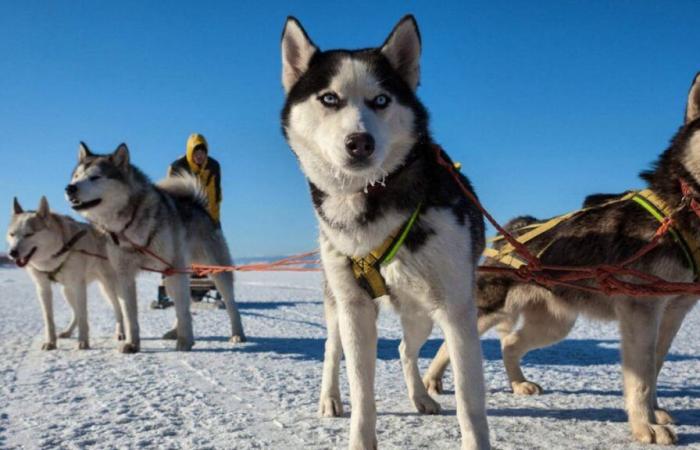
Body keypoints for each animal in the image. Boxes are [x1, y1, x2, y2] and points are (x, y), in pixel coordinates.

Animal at [7, 196, 124, 348]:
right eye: (12, 234)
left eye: (29, 234)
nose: (12, 252)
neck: (54, 255)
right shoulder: (43, 288)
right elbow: (49, 319)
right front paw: (50, 342)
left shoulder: (79, 287)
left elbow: (83, 316)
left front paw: (83, 342)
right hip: (67, 291)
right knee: (75, 313)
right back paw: (68, 332)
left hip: (108, 288)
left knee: (118, 309)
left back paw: (121, 332)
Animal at [65, 142, 246, 354]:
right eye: (76, 176)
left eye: (95, 177)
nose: (70, 188)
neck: (128, 223)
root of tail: (197, 205)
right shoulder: (124, 275)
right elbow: (130, 315)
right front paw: (132, 344)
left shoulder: (174, 267)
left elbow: (183, 311)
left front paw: (185, 342)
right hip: (170, 279)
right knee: (181, 303)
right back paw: (175, 332)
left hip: (213, 270)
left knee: (228, 304)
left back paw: (237, 334)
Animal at [282, 14, 490, 450]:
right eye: (329, 98)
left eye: (381, 100)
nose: (359, 142)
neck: (370, 199)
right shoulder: (355, 309)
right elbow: (362, 392)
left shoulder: (457, 310)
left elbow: (469, 400)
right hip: (337, 305)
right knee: (332, 349)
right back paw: (329, 398)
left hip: (423, 314)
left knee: (404, 348)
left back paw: (420, 396)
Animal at [424, 72, 700, 444]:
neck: (678, 211)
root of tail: (516, 227)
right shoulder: (641, 310)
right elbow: (641, 377)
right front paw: (645, 425)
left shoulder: (672, 313)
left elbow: (655, 366)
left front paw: (654, 412)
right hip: (492, 309)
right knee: (450, 344)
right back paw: (431, 380)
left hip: (555, 324)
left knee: (510, 342)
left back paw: (519, 383)